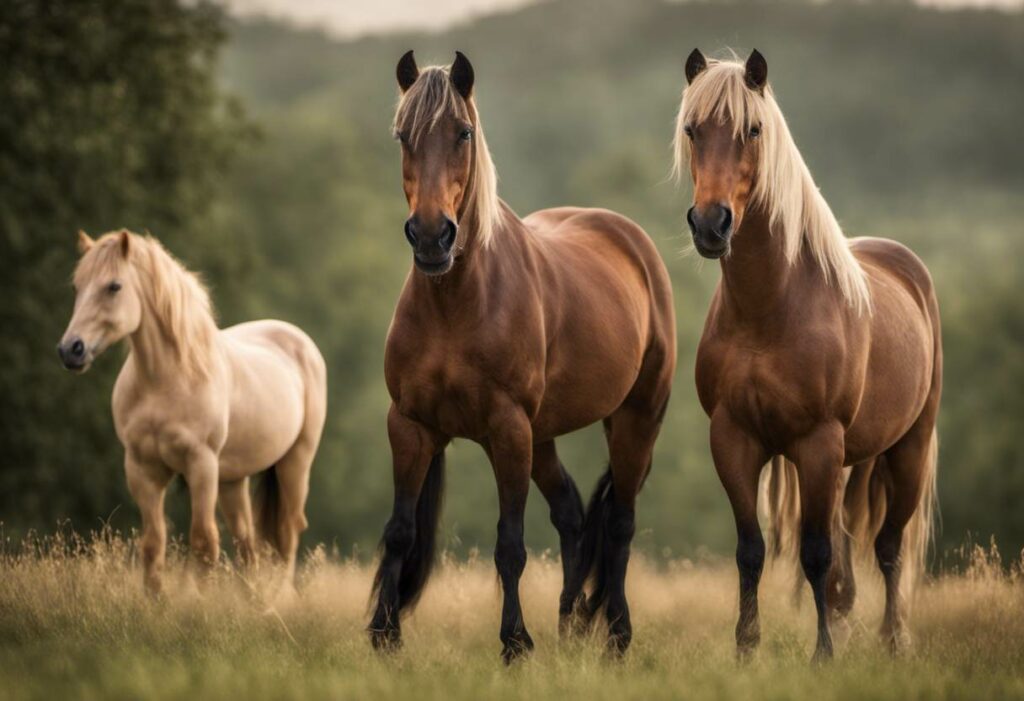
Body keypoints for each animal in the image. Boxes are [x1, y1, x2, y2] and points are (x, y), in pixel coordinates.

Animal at [57, 229, 327, 597]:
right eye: (76, 286)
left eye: (114, 286)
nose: (71, 350)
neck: (166, 380)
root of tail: (298, 339)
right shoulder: (141, 468)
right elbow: (153, 542)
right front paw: (155, 601)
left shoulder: (201, 463)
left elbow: (203, 540)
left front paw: (194, 602)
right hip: (232, 479)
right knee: (247, 543)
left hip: (295, 462)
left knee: (288, 531)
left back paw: (277, 600)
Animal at [370, 50, 679, 663]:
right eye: (402, 136)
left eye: (463, 132)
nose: (432, 237)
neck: (457, 302)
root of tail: (633, 241)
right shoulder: (411, 426)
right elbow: (400, 531)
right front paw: (384, 635)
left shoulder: (507, 428)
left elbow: (509, 545)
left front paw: (515, 642)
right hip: (544, 435)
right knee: (573, 513)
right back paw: (569, 623)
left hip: (634, 419)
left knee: (620, 523)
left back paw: (616, 635)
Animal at [675, 50, 937, 663]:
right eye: (692, 130)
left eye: (753, 129)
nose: (710, 224)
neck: (770, 308)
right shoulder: (734, 439)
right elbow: (751, 550)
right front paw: (746, 649)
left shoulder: (818, 441)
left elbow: (817, 552)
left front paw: (822, 655)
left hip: (907, 449)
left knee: (888, 547)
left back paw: (894, 642)